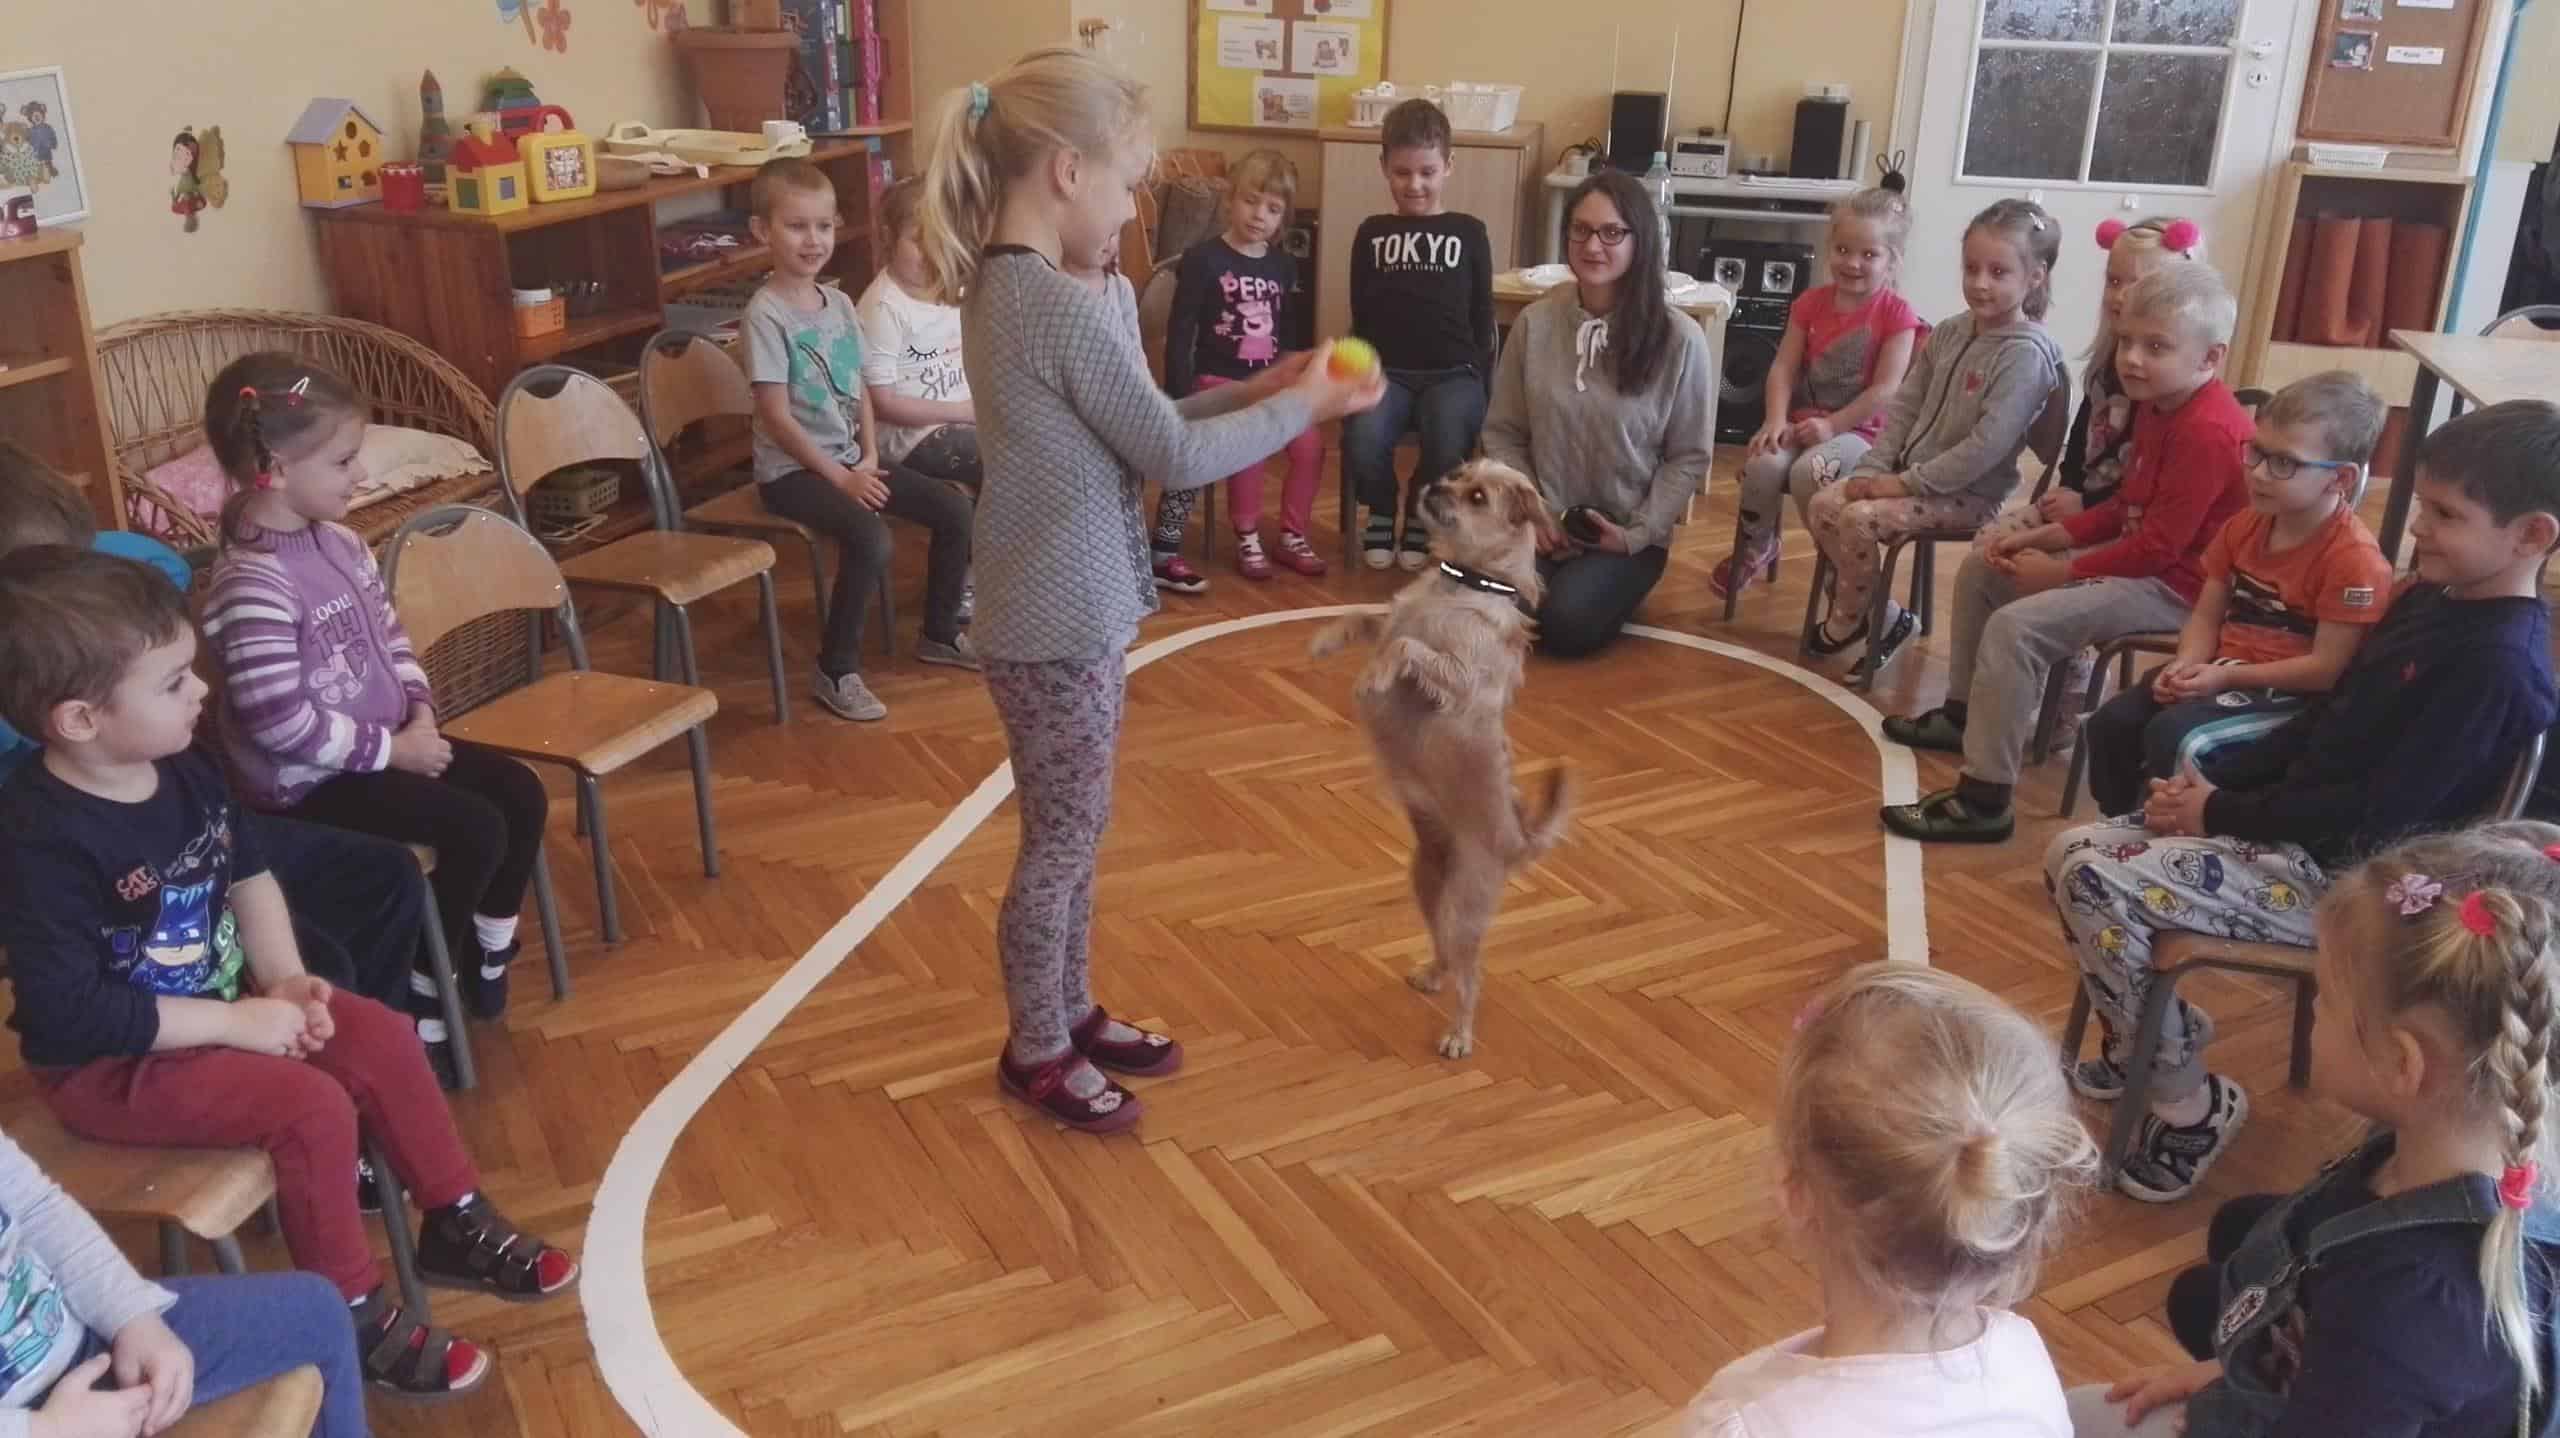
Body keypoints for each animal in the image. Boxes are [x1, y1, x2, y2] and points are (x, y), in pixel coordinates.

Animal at [1310, 460, 1574, 1058]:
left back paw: (1459, 1033)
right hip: (1427, 883)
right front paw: (1327, 638)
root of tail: (1516, 843)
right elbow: (1366, 617)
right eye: (1457, 472)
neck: (1460, 582)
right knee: (1447, 949)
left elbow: (1405, 648)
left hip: (1471, 909)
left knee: (1472, 973)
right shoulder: (1390, 617)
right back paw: (1433, 973)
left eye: (1476, 496)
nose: (1432, 484)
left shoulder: (1457, 678)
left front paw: (1373, 677)